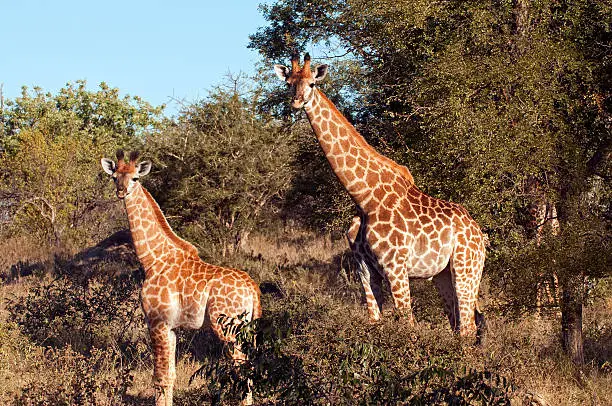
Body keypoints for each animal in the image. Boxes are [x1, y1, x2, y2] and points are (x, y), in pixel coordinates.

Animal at [100, 151, 260, 404]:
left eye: (135, 178)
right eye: (114, 177)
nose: (121, 191)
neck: (153, 258)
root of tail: (253, 288)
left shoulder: (157, 321)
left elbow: (159, 377)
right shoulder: (172, 327)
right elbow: (171, 376)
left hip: (228, 329)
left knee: (242, 367)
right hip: (245, 328)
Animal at [274, 55, 486, 338]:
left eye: (311, 83)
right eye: (289, 83)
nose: (297, 102)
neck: (364, 198)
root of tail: (480, 234)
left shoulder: (396, 267)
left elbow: (409, 326)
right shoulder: (364, 269)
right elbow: (374, 321)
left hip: (466, 268)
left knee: (468, 328)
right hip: (442, 275)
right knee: (457, 324)